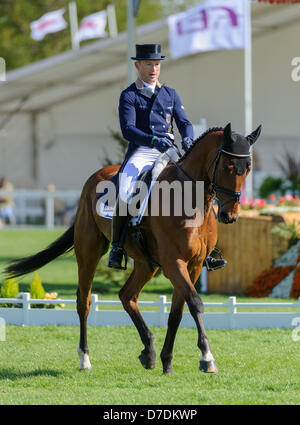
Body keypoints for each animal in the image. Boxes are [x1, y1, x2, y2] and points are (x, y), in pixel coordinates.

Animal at [5, 122, 262, 374]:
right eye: (228, 166)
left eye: (248, 168)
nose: (229, 215)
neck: (191, 200)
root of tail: (96, 176)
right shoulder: (173, 262)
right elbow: (195, 303)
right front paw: (207, 358)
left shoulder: (195, 265)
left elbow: (177, 312)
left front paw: (167, 361)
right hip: (89, 252)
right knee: (84, 302)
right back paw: (85, 359)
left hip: (146, 264)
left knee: (127, 295)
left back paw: (148, 351)